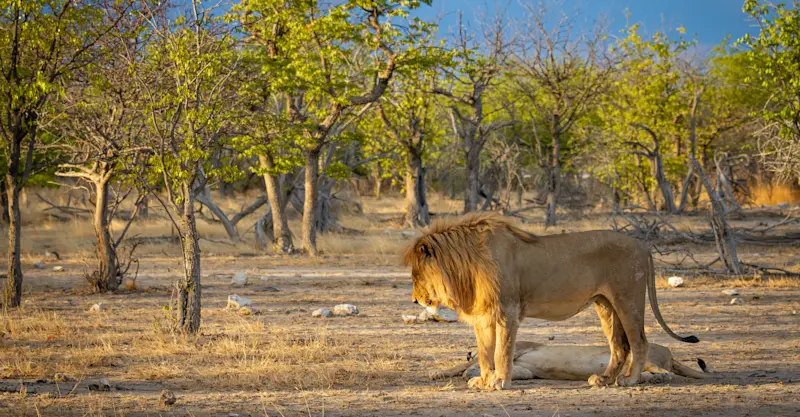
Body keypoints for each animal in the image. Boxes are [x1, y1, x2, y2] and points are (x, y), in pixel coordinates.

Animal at [404, 212, 698, 391]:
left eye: (416, 275)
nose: (415, 300)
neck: (467, 265)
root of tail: (643, 245)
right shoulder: (483, 315)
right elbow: (485, 352)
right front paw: (484, 381)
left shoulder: (508, 310)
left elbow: (501, 352)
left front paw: (499, 382)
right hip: (605, 304)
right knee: (619, 345)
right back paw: (603, 379)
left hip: (628, 298)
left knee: (639, 341)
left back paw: (630, 380)